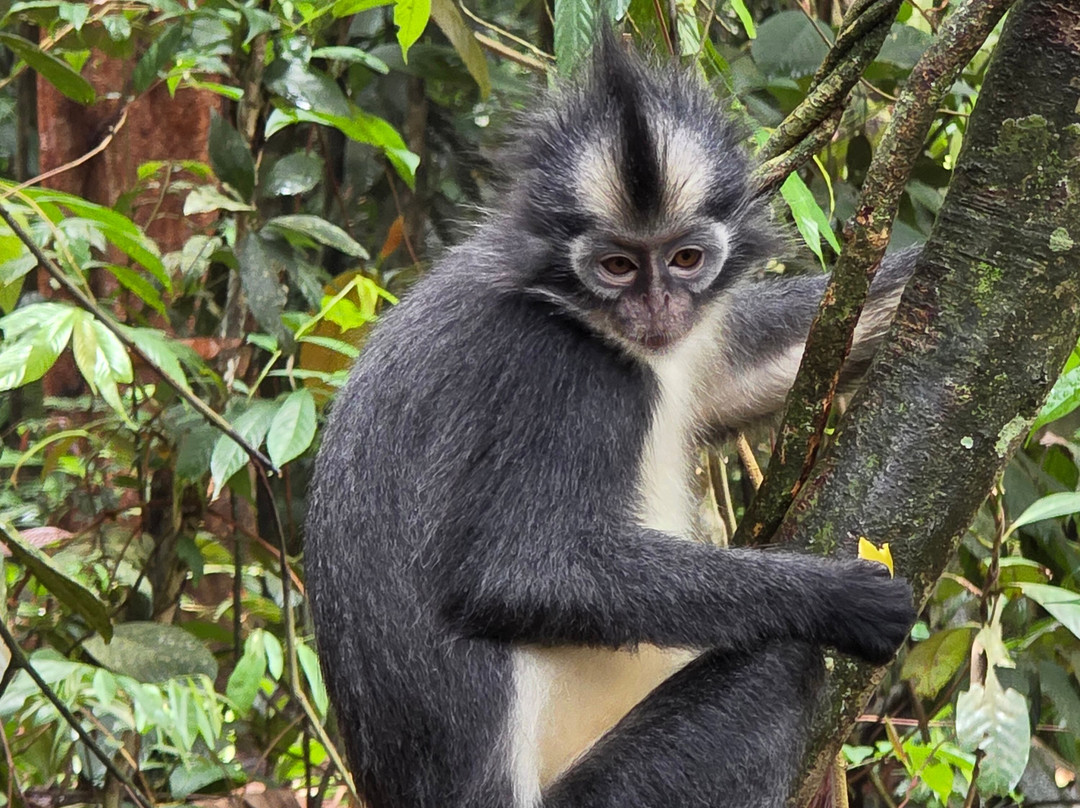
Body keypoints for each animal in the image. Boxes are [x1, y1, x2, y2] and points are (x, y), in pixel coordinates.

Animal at [305, 38, 917, 808]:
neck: (564, 301)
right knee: (785, 661)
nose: (656, 309)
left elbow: (752, 371)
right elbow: (517, 573)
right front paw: (839, 597)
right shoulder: (569, 370)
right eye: (618, 266)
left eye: (685, 259)